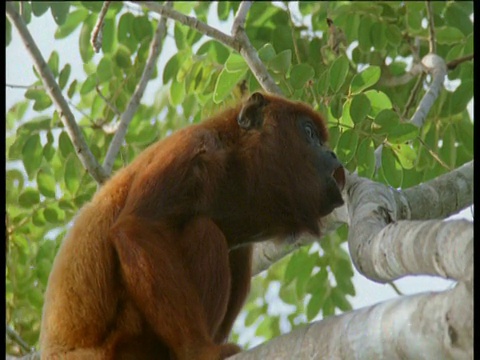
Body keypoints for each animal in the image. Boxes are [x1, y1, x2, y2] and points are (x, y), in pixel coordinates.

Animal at [40, 93, 344, 360]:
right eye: (309, 133)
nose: (333, 154)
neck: (233, 157)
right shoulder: (192, 148)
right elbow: (138, 227)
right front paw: (198, 351)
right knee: (204, 231)